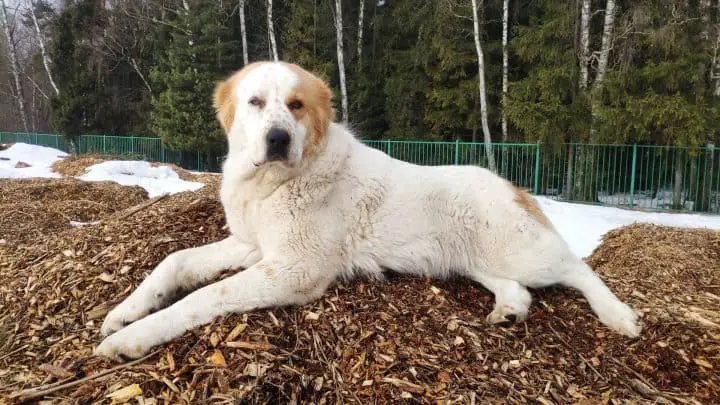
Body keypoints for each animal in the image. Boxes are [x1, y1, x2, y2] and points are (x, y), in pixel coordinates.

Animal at [95, 60, 640, 360]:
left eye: (296, 105)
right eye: (255, 102)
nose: (278, 138)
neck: (275, 183)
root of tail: (510, 184)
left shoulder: (293, 270)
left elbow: (205, 296)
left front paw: (137, 336)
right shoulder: (253, 247)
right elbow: (175, 261)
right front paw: (124, 312)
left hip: (519, 252)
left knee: (577, 267)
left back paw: (618, 315)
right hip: (472, 259)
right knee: (518, 289)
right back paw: (509, 310)